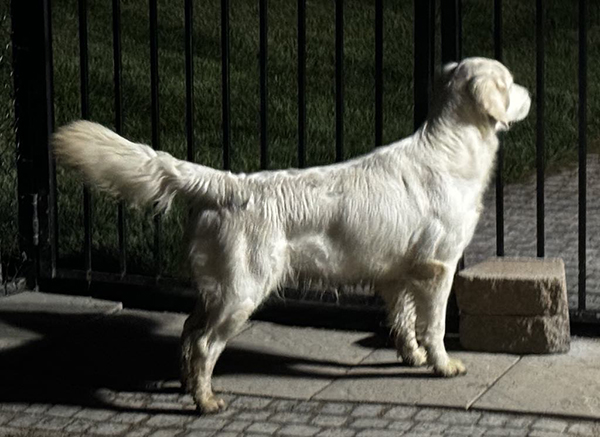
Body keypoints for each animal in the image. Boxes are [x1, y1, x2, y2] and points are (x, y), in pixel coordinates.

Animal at [51, 57, 528, 412]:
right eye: (509, 81)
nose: (530, 95)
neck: (452, 146)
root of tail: (227, 184)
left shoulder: (397, 271)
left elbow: (404, 320)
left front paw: (410, 357)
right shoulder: (438, 266)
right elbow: (434, 325)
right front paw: (442, 365)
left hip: (220, 288)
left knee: (188, 333)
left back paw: (189, 387)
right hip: (242, 291)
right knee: (203, 344)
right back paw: (206, 402)